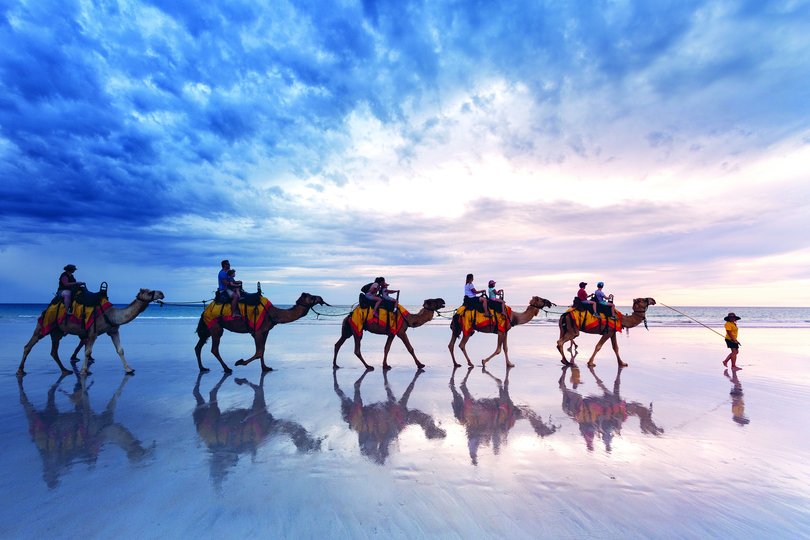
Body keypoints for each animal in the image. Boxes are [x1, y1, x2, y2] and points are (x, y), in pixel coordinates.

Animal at [19, 288, 163, 378]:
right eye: (150, 291)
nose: (162, 293)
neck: (111, 315)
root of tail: (47, 308)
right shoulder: (92, 332)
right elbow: (88, 351)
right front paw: (84, 371)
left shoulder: (113, 331)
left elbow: (120, 350)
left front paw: (129, 369)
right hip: (43, 326)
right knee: (28, 346)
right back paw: (20, 371)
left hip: (57, 332)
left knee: (54, 351)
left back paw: (65, 370)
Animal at [193, 292, 326, 376]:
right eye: (312, 297)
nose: (321, 298)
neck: (273, 313)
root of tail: (204, 311)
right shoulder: (257, 332)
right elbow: (259, 351)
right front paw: (240, 362)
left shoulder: (265, 331)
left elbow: (263, 350)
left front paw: (265, 368)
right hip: (215, 326)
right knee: (214, 348)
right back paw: (227, 368)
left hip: (208, 328)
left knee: (198, 347)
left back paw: (202, 368)